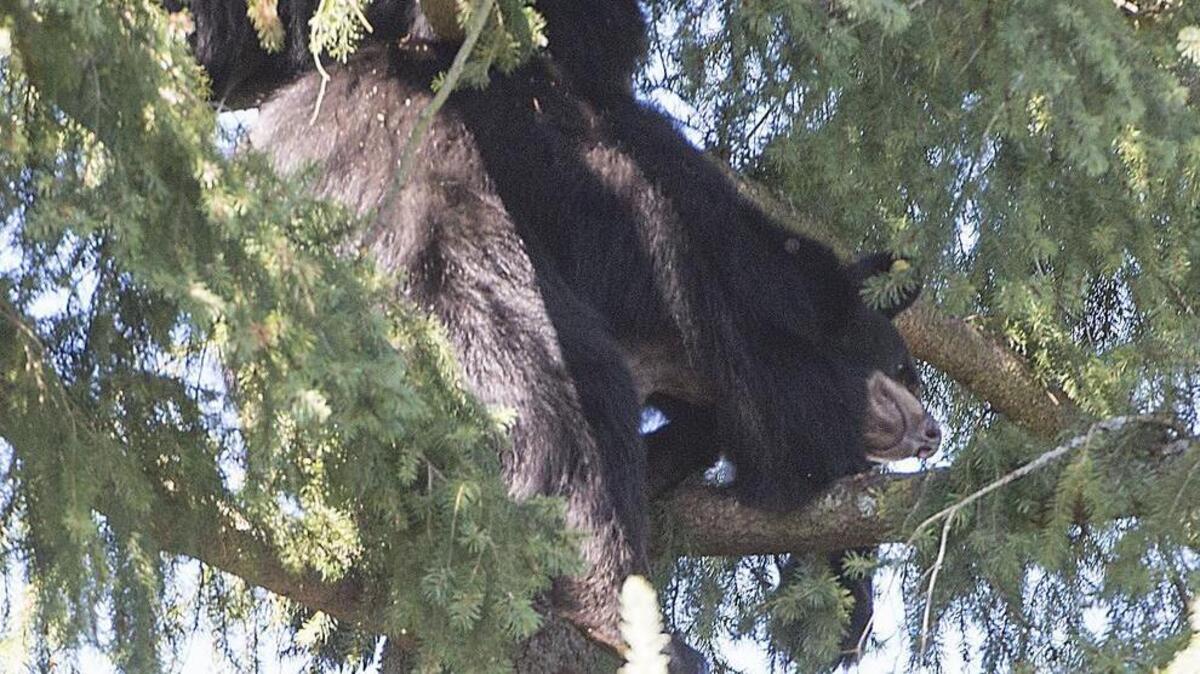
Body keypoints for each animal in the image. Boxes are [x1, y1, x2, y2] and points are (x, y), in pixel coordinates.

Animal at [170, 1, 941, 670]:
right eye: (906, 368)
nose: (933, 433)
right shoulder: (723, 264)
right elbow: (784, 431)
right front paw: (845, 588)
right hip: (410, 179)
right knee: (541, 377)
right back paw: (617, 609)